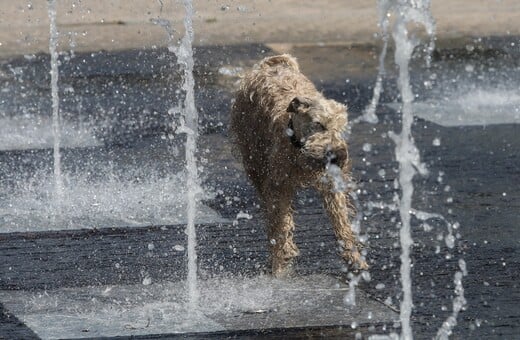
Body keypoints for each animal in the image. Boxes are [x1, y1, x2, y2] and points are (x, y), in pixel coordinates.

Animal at [230, 53, 368, 276]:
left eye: (341, 128)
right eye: (319, 124)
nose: (338, 157)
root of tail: (270, 65)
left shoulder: (331, 184)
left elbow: (342, 222)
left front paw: (354, 258)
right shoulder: (278, 186)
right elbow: (280, 223)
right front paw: (279, 263)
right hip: (254, 163)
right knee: (270, 213)